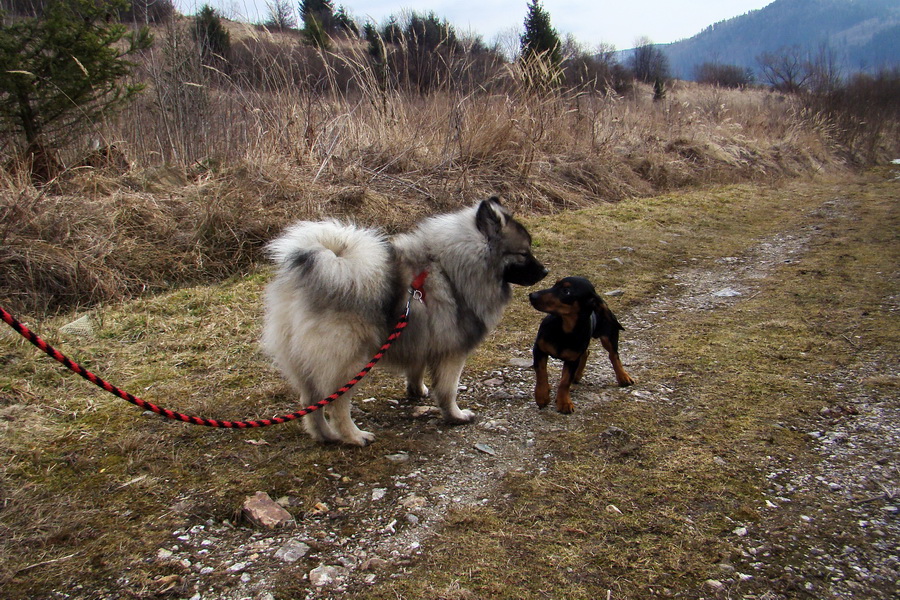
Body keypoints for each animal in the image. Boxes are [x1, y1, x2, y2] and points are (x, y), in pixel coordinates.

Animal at [262, 197, 548, 446]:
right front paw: (456, 415)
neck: (450, 268)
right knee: (336, 404)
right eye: (523, 253)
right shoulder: (453, 352)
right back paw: (354, 437)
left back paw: (326, 436)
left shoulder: (421, 335)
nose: (545, 271)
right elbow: (449, 390)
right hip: (349, 363)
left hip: (306, 363)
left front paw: (417, 390)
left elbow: (417, 368)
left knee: (311, 402)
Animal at [528, 278, 632, 412]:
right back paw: (577, 375)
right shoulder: (539, 349)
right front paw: (542, 396)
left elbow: (565, 381)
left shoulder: (572, 359)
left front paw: (564, 402)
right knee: (587, 353)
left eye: (566, 291)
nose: (532, 295)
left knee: (613, 355)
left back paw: (623, 377)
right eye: (555, 284)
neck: (564, 330)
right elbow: (541, 373)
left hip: (609, 337)